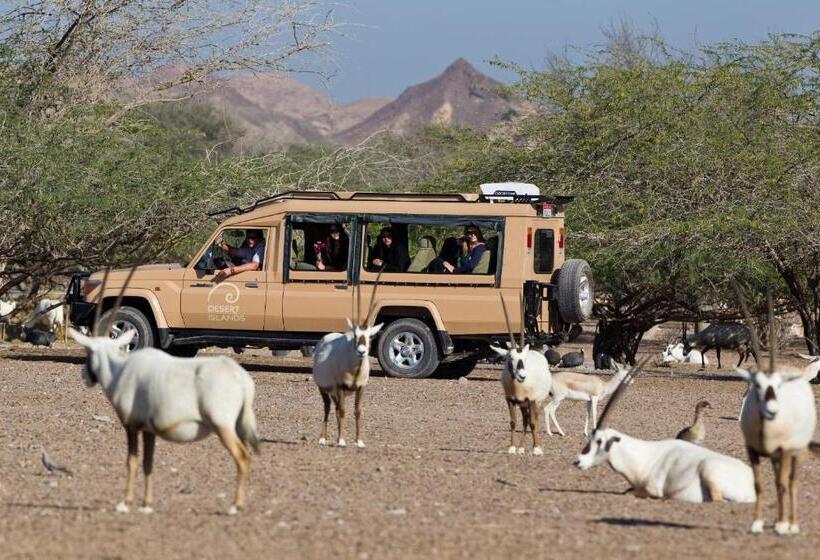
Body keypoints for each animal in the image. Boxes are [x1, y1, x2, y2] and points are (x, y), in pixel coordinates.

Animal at [314, 274, 384, 448]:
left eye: (369, 336)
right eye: (355, 335)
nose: (362, 351)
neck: (355, 371)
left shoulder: (360, 388)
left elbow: (357, 411)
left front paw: (359, 441)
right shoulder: (339, 386)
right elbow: (342, 411)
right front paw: (341, 440)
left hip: (338, 393)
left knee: (336, 408)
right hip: (324, 389)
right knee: (328, 408)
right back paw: (323, 438)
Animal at [494, 294, 552, 456]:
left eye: (524, 359)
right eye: (510, 358)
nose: (522, 376)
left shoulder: (531, 400)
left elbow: (533, 423)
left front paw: (536, 448)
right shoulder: (511, 400)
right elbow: (513, 422)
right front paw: (512, 448)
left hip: (537, 402)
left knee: (534, 419)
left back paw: (536, 446)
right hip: (523, 404)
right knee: (525, 419)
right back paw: (521, 448)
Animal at [732, 286, 816, 536]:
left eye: (779, 385)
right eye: (756, 385)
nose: (771, 411)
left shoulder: (786, 450)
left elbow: (782, 484)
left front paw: (782, 525)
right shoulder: (753, 450)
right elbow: (759, 485)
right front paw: (757, 523)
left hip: (795, 451)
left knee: (791, 482)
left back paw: (792, 524)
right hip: (775, 456)